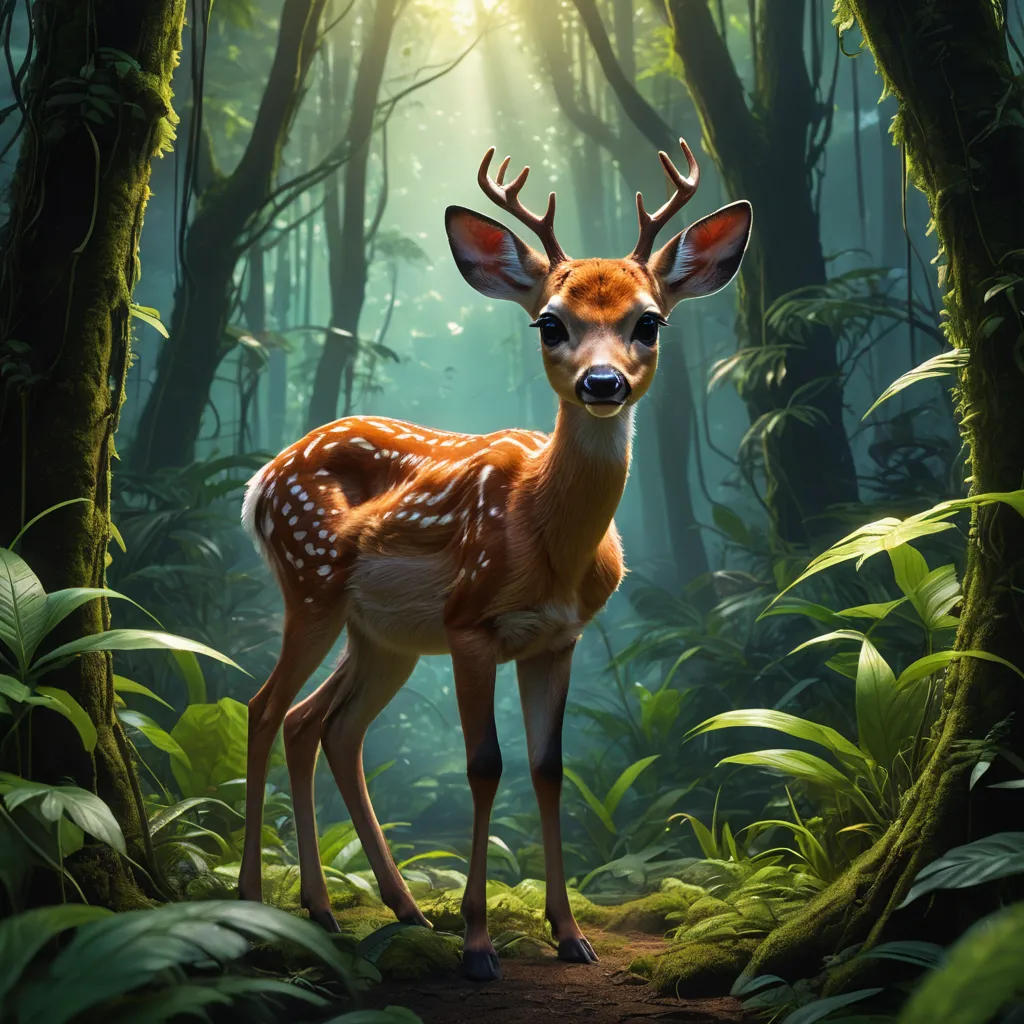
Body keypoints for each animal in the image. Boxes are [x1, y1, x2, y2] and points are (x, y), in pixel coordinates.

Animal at [239, 138, 751, 981]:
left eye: (649, 322)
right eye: (550, 322)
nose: (602, 382)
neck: (543, 538)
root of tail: (260, 481)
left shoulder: (558, 639)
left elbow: (548, 768)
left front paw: (570, 934)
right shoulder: (469, 625)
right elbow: (485, 766)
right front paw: (479, 944)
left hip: (381, 636)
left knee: (323, 725)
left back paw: (370, 907)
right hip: (310, 584)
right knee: (264, 707)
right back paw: (258, 905)